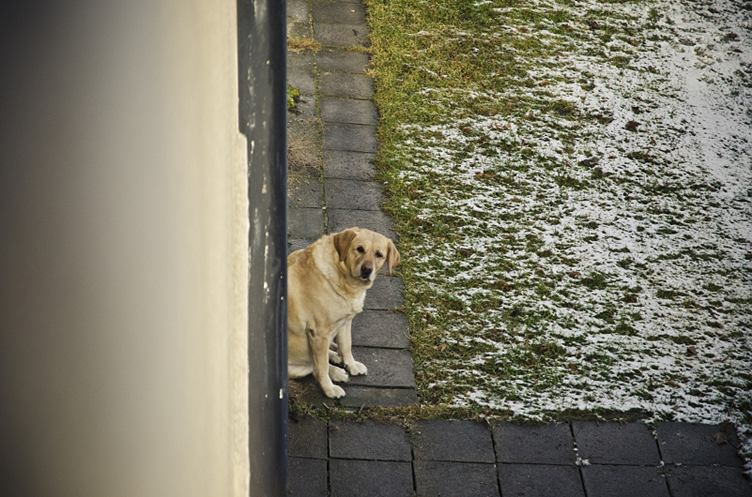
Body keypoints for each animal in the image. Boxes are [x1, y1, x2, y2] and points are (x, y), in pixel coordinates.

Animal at [287, 227, 400, 398]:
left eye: (379, 254)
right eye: (359, 249)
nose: (366, 270)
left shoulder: (345, 322)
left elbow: (346, 346)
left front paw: (351, 365)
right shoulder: (319, 334)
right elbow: (321, 368)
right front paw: (329, 389)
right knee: (314, 367)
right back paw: (336, 372)